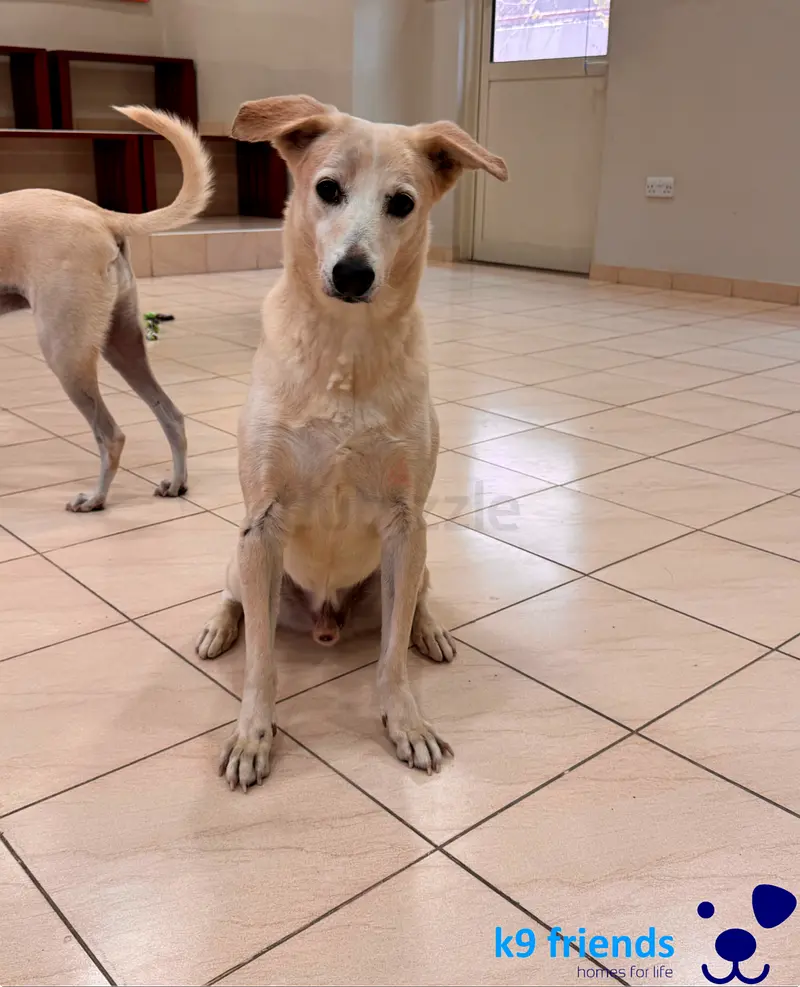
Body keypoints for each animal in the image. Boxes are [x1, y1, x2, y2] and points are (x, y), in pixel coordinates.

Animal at [0, 106, 213, 511]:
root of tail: (101, 213)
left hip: (64, 351)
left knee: (111, 435)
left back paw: (96, 497)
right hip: (121, 342)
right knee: (172, 417)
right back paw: (177, 483)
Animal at [195, 94, 507, 791]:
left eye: (402, 202)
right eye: (327, 189)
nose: (353, 273)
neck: (345, 348)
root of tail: (327, 621)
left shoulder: (405, 523)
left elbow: (390, 658)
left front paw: (405, 722)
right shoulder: (262, 522)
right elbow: (261, 663)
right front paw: (253, 735)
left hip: (412, 562)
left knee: (412, 605)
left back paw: (430, 632)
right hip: (243, 558)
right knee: (238, 603)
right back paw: (218, 629)